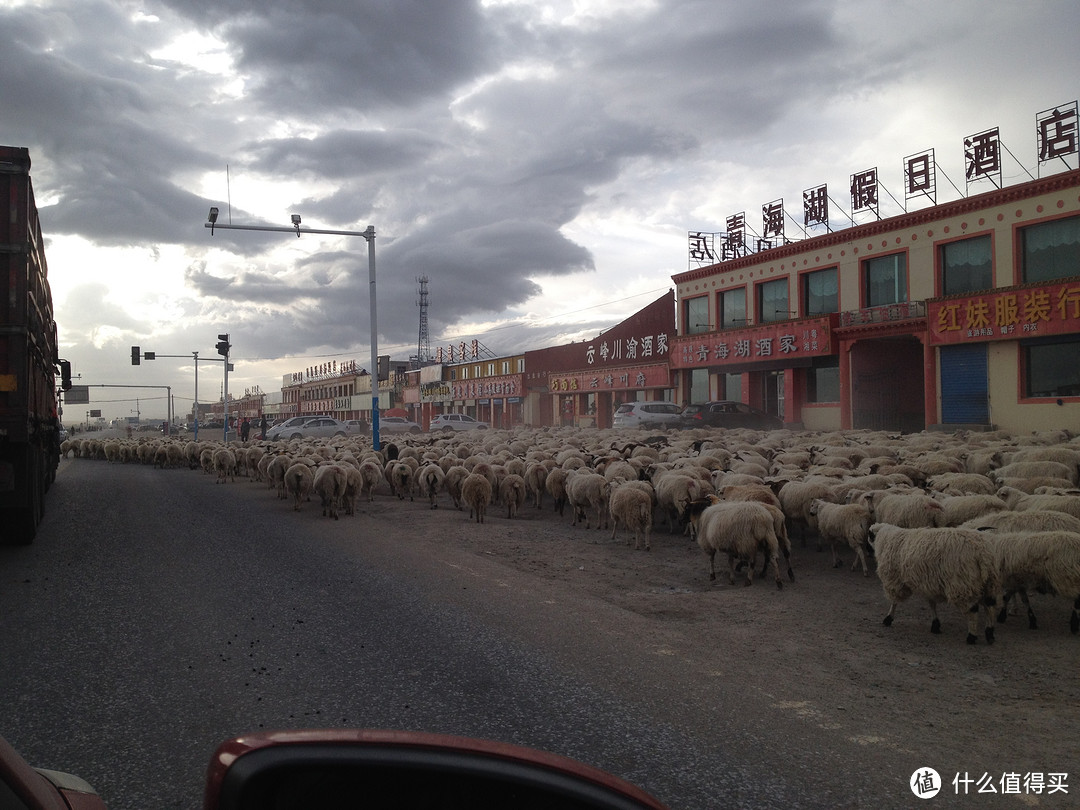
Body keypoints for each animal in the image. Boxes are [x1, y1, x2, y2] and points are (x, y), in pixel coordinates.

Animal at [864, 527, 997, 648]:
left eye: (868, 535)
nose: (867, 550)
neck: (885, 538)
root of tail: (982, 553)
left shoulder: (894, 580)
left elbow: (894, 602)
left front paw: (888, 618)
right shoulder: (929, 584)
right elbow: (932, 604)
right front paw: (935, 624)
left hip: (962, 584)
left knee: (973, 610)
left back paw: (971, 636)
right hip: (988, 584)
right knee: (989, 606)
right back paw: (989, 633)